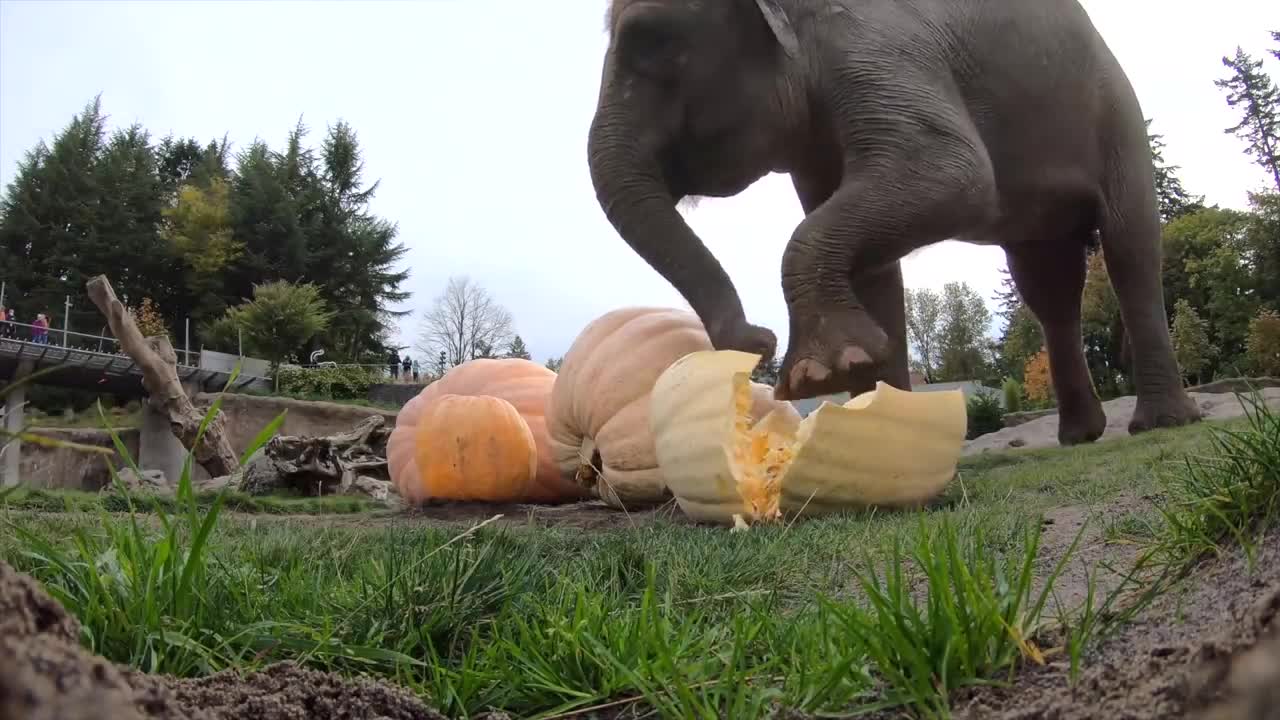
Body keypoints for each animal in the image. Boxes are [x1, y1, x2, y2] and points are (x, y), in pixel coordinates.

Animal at [586, 0, 1203, 443]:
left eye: (654, 39)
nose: (758, 341)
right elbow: (867, 250)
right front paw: (868, 401)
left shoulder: (876, 44)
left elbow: (951, 173)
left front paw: (820, 376)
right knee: (1047, 288)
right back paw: (1080, 436)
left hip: (1118, 112)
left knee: (1129, 248)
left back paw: (1163, 424)